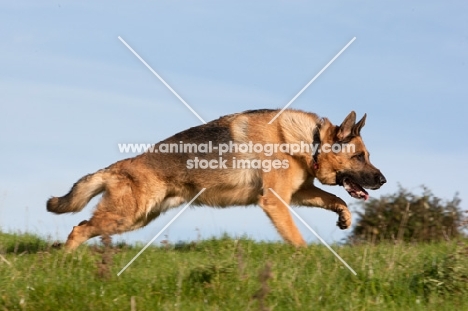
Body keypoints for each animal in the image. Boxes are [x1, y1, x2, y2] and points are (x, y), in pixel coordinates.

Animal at [46, 109, 384, 251]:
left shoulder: (298, 193)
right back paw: (65, 262)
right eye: (359, 157)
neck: (308, 141)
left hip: (136, 218)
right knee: (78, 229)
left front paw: (344, 218)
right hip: (126, 216)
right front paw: (311, 259)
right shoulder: (276, 201)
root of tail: (116, 167)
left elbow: (336, 199)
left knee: (83, 227)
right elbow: (298, 240)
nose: (382, 180)